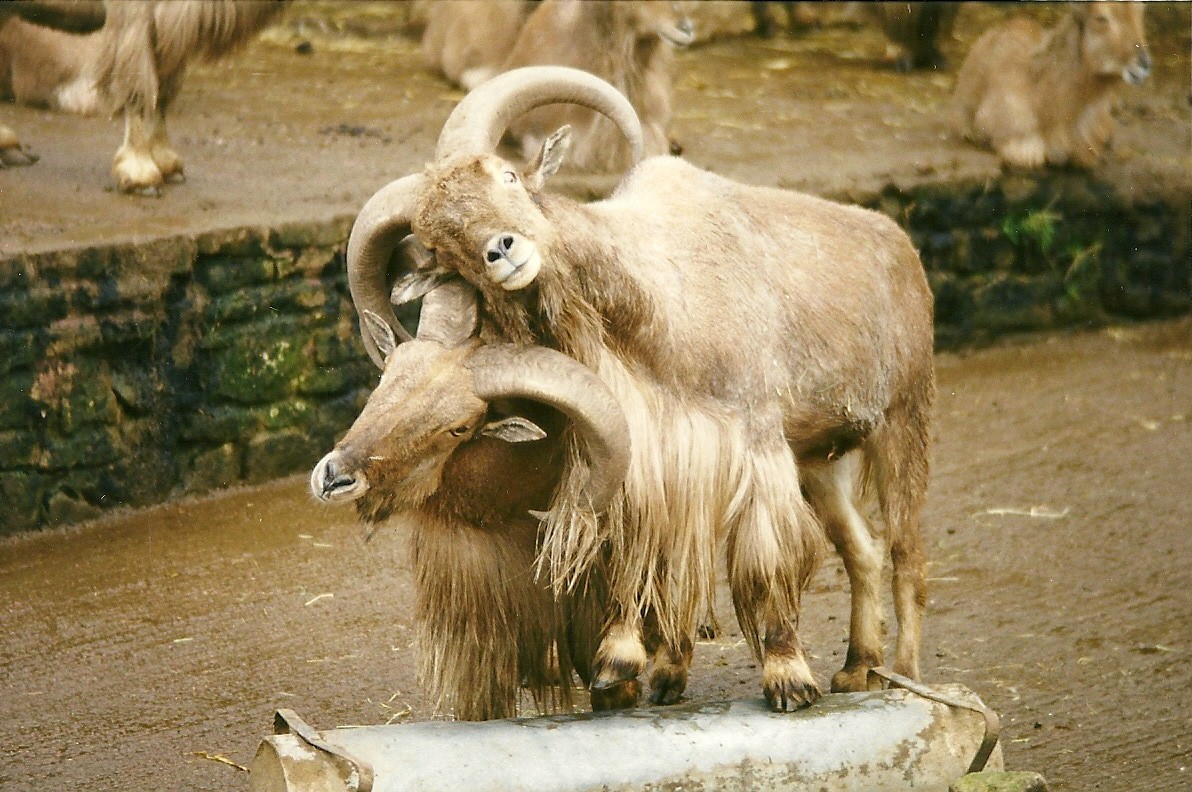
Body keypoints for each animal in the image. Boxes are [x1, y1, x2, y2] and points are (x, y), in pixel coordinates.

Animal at [347, 66, 935, 712]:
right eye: (441, 243)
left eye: (508, 177)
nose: (502, 250)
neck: (652, 304)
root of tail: (901, 246)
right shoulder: (642, 459)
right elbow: (638, 554)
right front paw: (622, 665)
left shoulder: (756, 441)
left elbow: (764, 559)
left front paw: (788, 679)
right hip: (821, 460)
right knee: (862, 549)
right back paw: (857, 669)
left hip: (903, 419)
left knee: (906, 556)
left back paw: (905, 674)